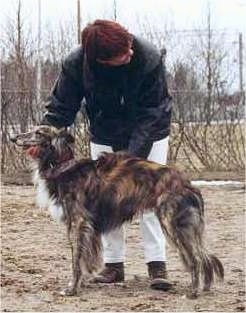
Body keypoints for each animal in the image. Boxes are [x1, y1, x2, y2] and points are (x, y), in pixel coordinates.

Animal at [11, 125, 223, 298]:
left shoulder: (78, 223)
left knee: (195, 259)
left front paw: (72, 289)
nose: (13, 138)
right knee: (205, 257)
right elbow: (86, 259)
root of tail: (187, 184)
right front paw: (83, 283)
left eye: (39, 133)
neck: (63, 167)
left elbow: (76, 261)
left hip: (172, 224)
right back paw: (204, 288)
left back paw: (193, 292)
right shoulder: (89, 228)